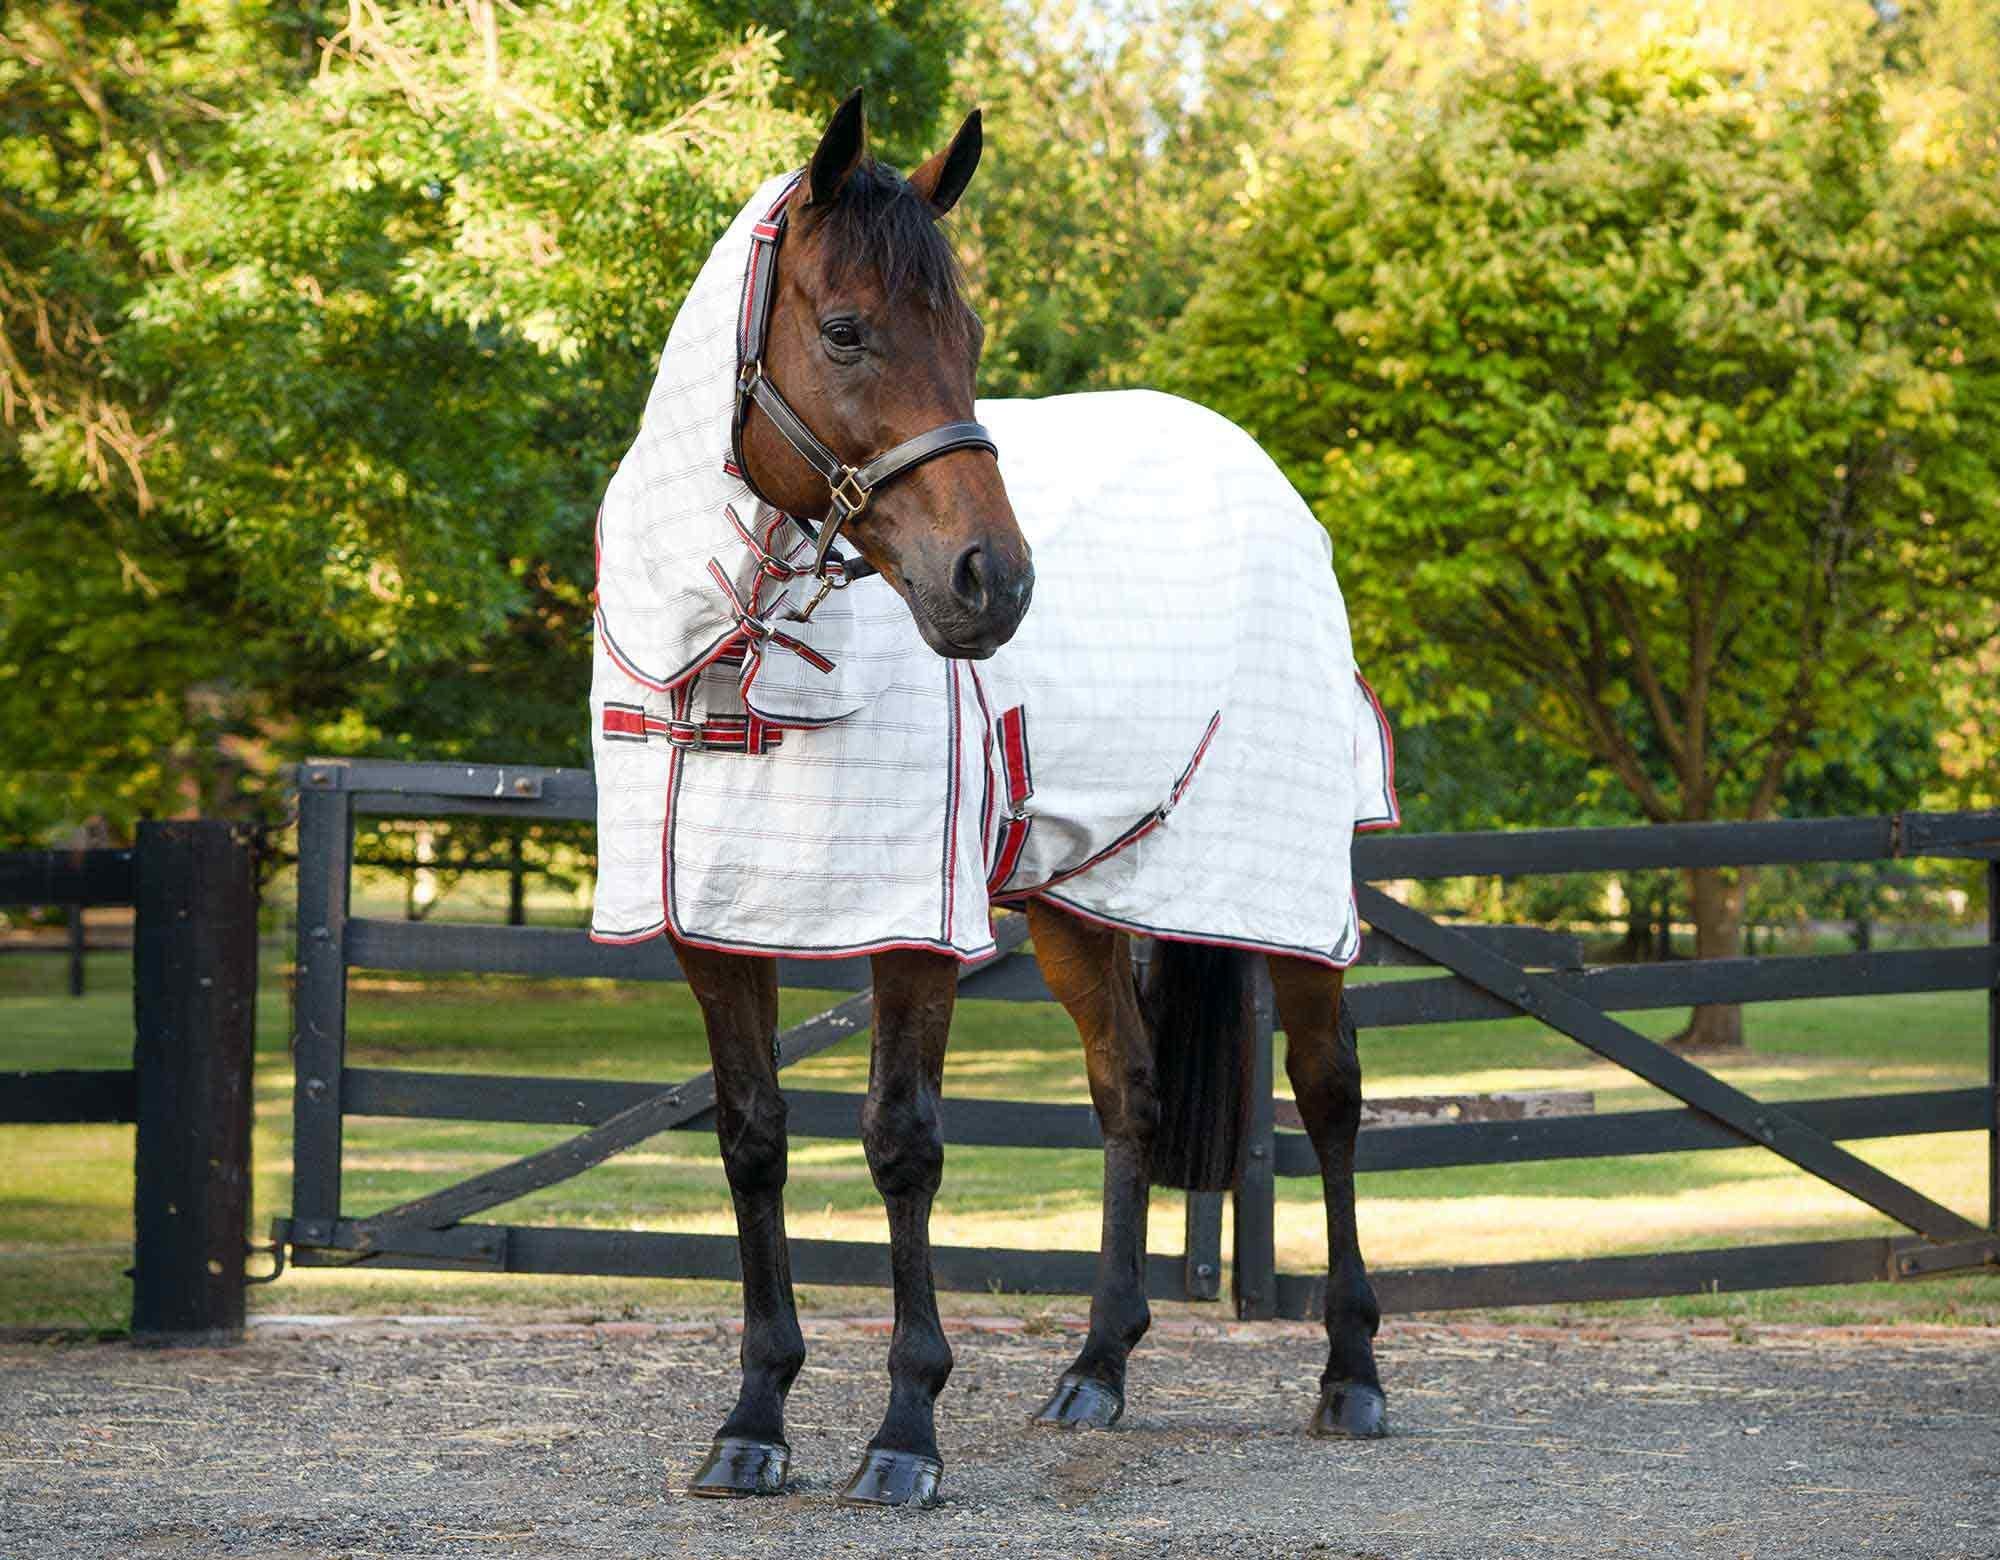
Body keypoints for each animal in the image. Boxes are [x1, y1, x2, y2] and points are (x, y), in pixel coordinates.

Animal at [588, 90, 1390, 1509]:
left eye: (966, 336)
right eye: (845, 328)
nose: (994, 583)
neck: (717, 654)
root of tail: (1264, 481)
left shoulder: (913, 926)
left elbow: (900, 1143)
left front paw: (905, 1431)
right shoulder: (711, 929)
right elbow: (751, 1138)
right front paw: (753, 1420)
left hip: (1285, 893)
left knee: (1328, 1090)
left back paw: (1349, 1375)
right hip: (1078, 901)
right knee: (1128, 1090)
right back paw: (1097, 1368)